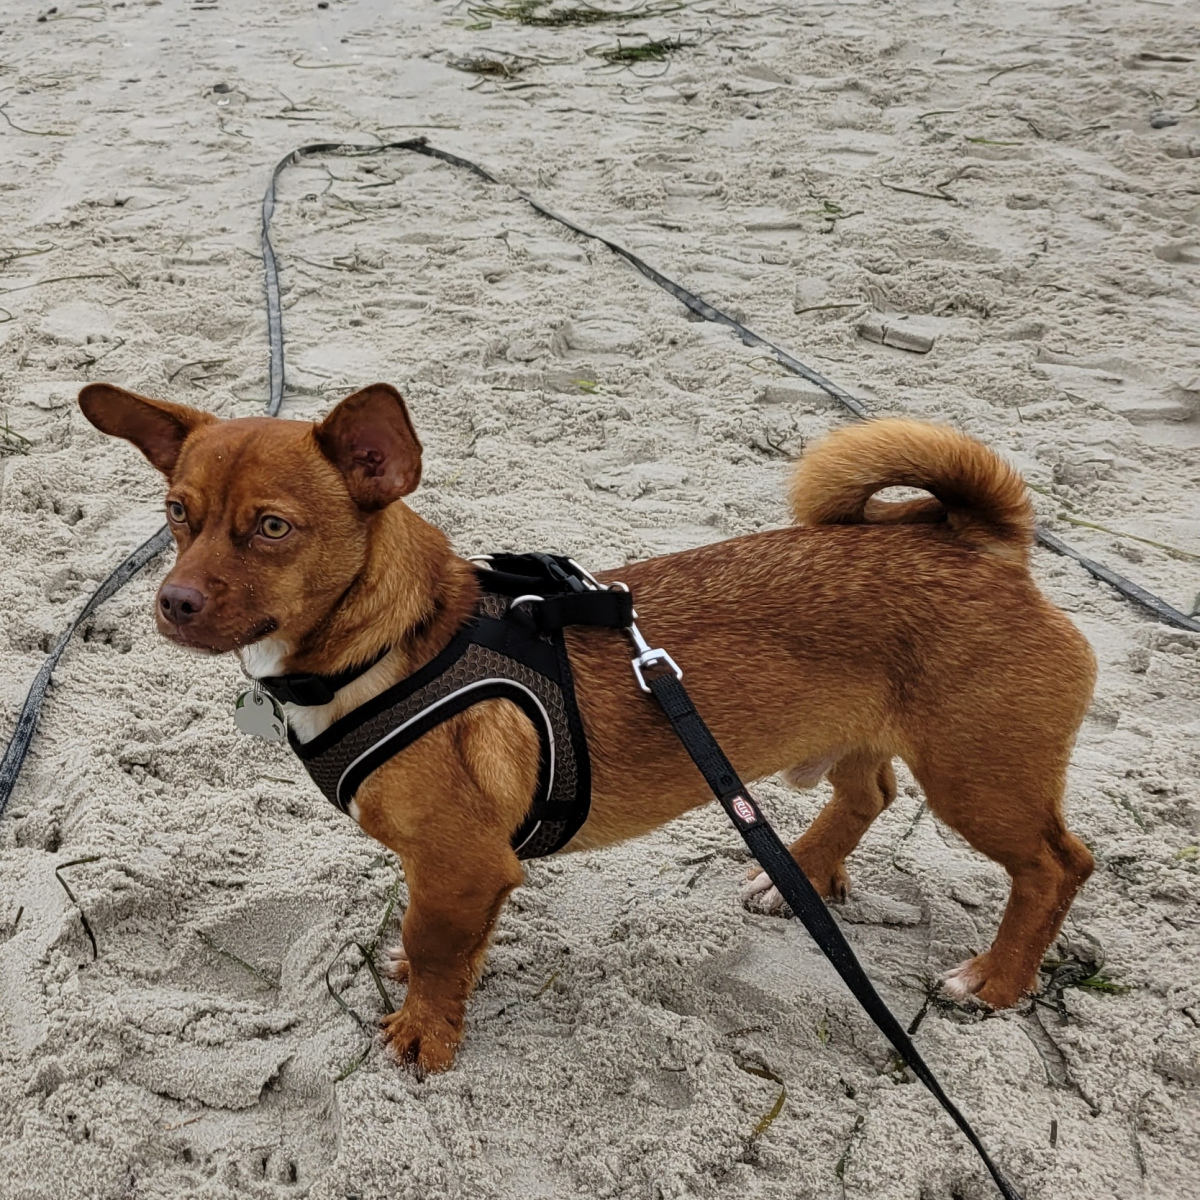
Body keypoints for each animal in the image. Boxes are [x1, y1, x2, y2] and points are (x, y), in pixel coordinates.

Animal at [78, 380, 1096, 1074]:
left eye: (274, 528)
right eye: (176, 514)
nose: (172, 604)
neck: (397, 643)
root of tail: (973, 544)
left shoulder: (461, 865)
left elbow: (432, 946)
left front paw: (424, 1036)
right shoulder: (466, 870)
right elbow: (442, 943)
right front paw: (437, 996)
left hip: (979, 781)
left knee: (1055, 868)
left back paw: (996, 982)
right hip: (860, 744)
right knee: (870, 794)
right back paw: (800, 875)